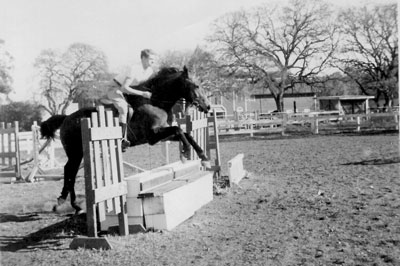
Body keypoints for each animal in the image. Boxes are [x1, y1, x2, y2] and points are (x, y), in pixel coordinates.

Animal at [39, 66, 211, 214]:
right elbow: (179, 130)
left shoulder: (161, 135)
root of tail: (66, 117)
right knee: (70, 171)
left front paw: (204, 158)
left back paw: (71, 204)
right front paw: (186, 152)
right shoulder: (153, 135)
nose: (208, 107)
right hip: (76, 153)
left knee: (70, 171)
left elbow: (185, 133)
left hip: (78, 153)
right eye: (196, 86)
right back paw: (67, 202)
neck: (155, 101)